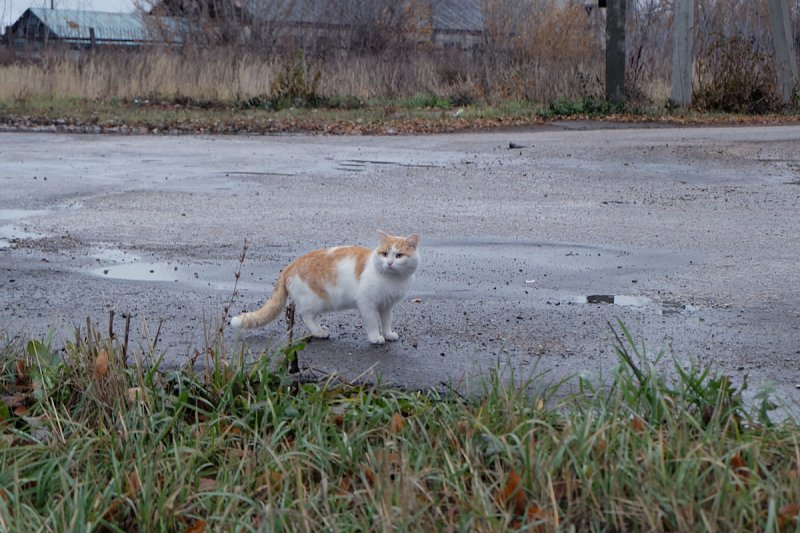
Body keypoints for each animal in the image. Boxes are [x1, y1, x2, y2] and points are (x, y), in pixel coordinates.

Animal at [230, 231, 422, 342]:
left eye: (399, 255)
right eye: (384, 254)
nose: (389, 263)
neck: (391, 279)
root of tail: (290, 266)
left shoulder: (386, 306)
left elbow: (387, 321)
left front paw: (388, 334)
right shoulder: (366, 303)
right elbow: (373, 322)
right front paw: (376, 337)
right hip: (316, 300)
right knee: (305, 315)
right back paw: (318, 332)